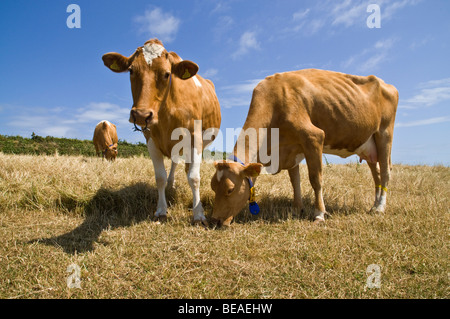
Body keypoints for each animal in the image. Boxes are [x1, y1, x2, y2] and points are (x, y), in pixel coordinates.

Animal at [102, 38, 221, 226]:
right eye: (131, 70)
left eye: (167, 74)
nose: (141, 115)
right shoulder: (151, 141)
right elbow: (160, 177)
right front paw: (161, 211)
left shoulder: (195, 139)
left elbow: (194, 178)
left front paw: (198, 214)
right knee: (175, 162)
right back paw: (171, 184)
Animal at [210, 69, 398, 228]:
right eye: (213, 187)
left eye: (230, 190)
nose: (214, 221)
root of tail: (386, 83)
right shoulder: (291, 150)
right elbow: (295, 182)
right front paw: (296, 209)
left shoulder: (313, 137)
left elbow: (315, 179)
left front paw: (319, 214)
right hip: (368, 145)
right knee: (376, 173)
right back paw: (374, 205)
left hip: (384, 134)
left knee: (386, 172)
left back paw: (380, 208)